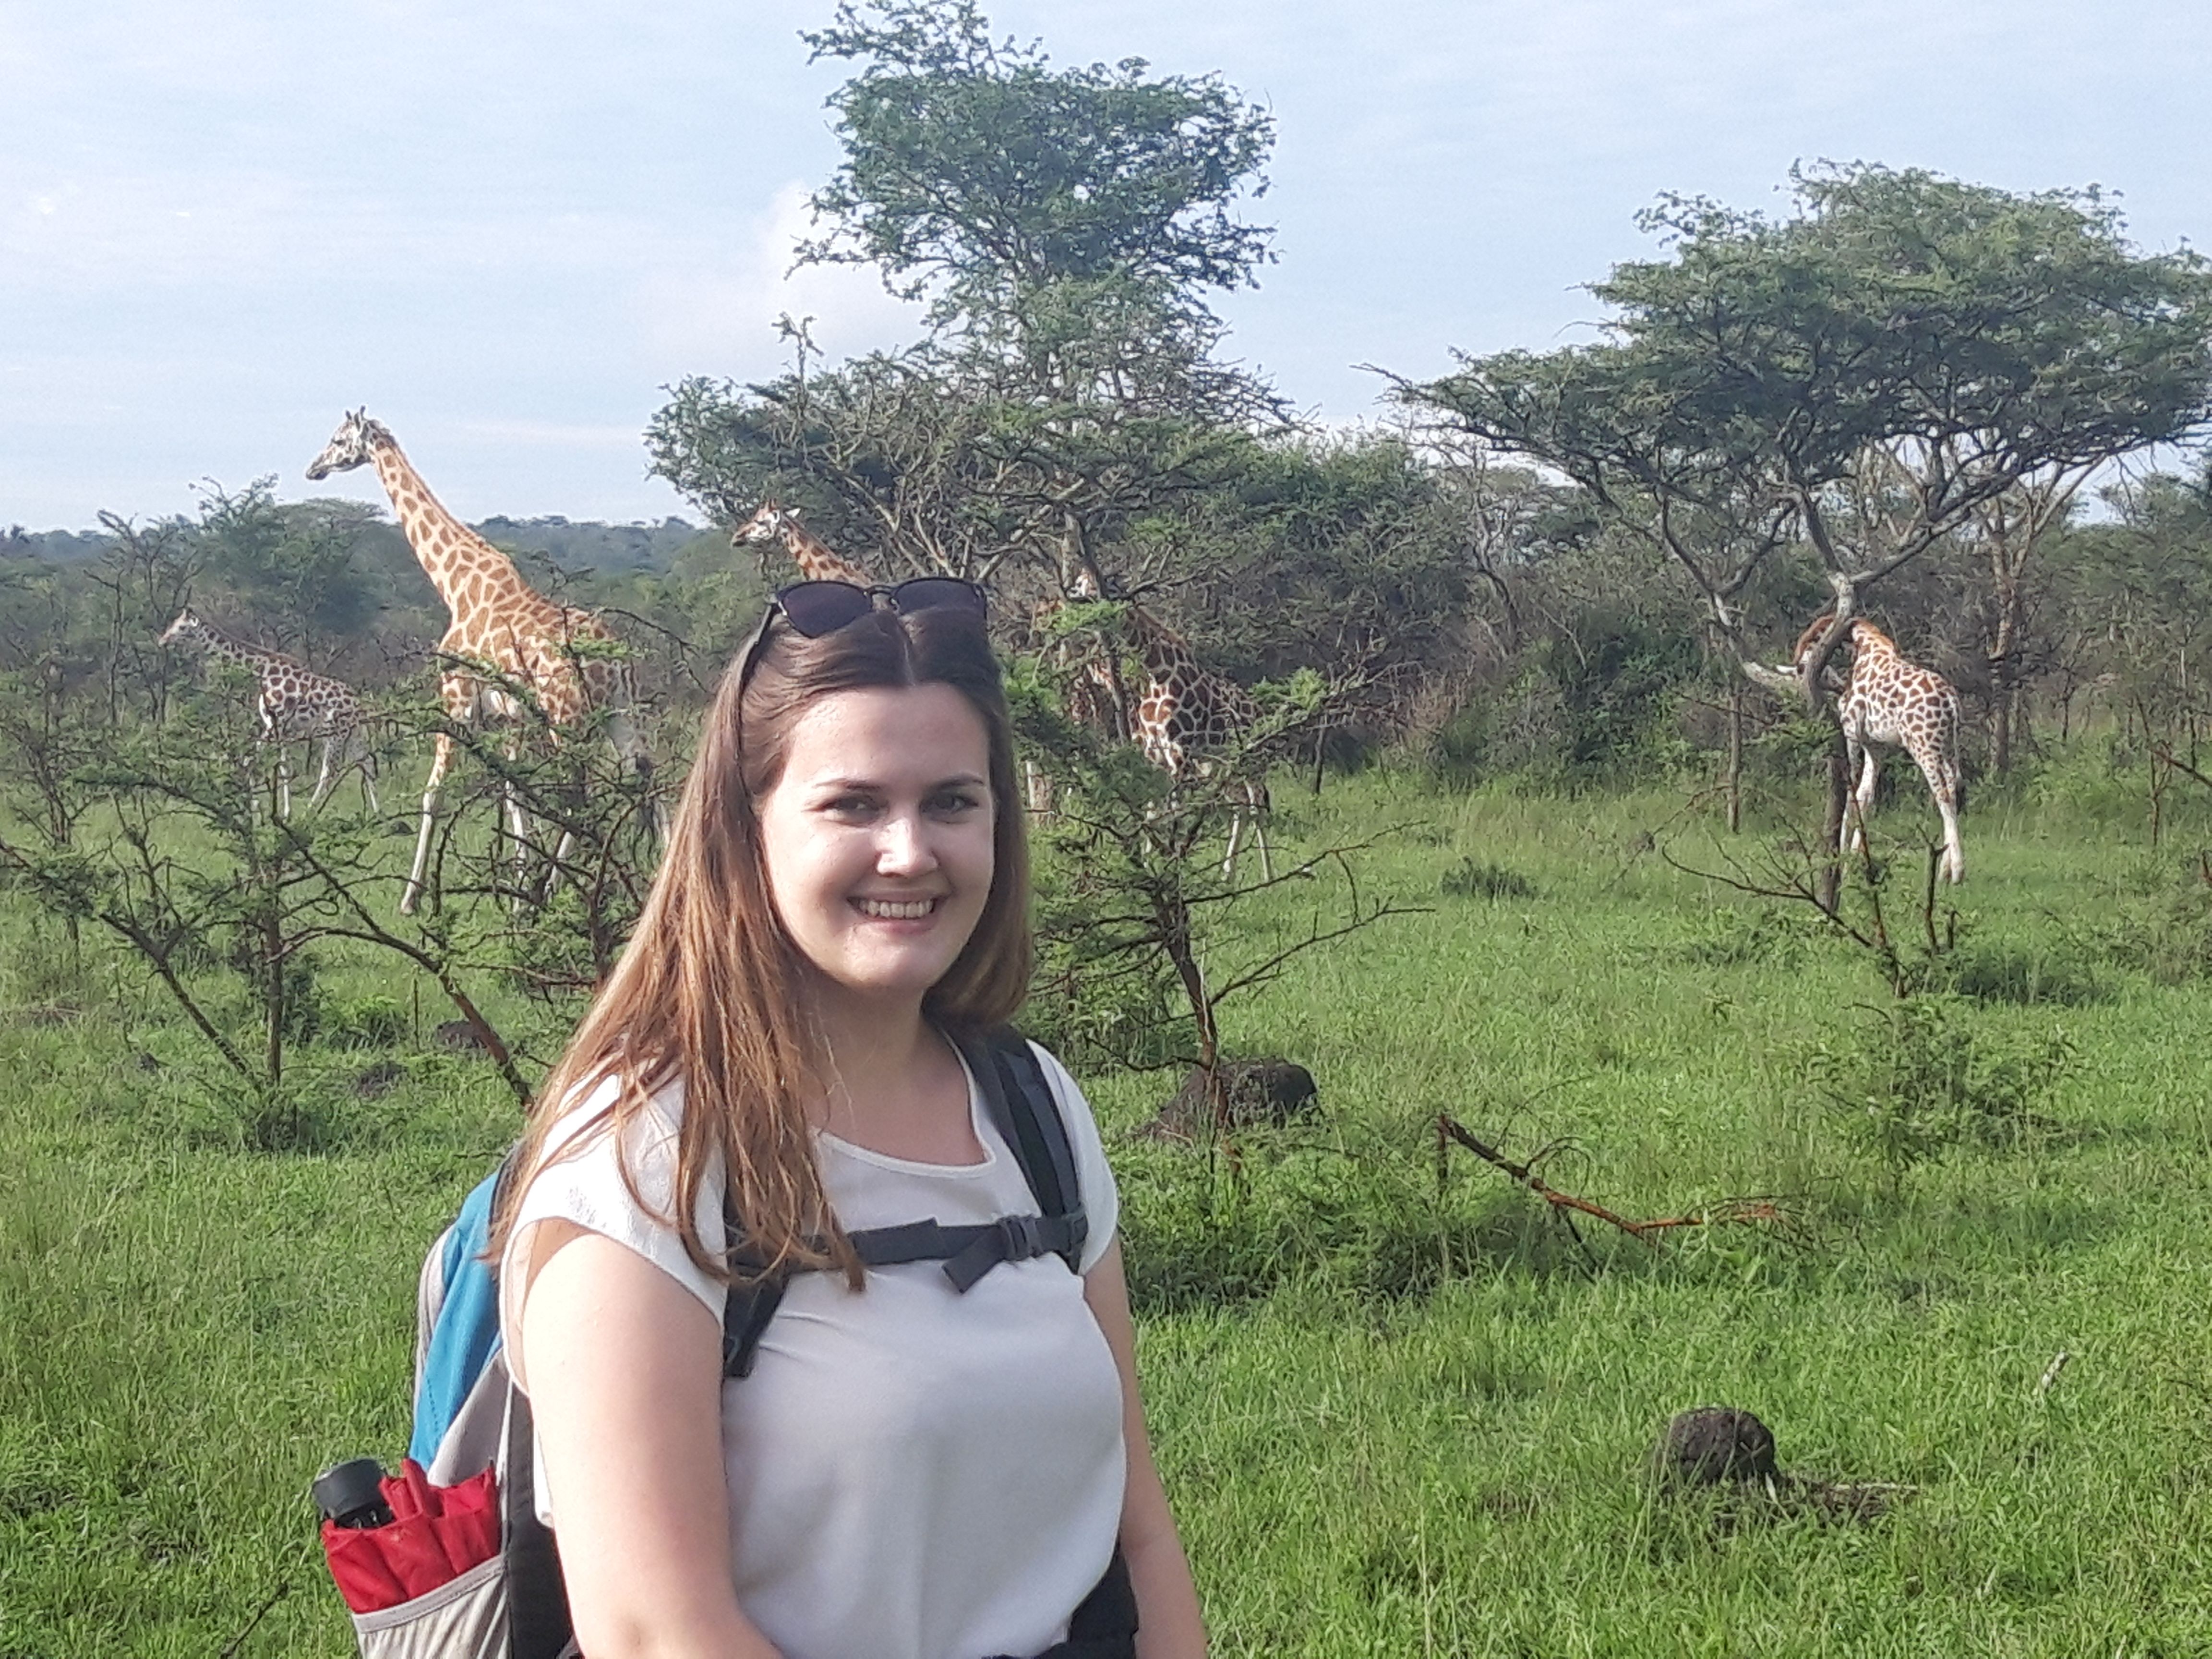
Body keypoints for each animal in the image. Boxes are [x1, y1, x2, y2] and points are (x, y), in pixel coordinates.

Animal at [160, 606, 378, 823]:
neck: (263, 672)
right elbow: (282, 766)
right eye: (173, 624)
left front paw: (263, 813)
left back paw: (308, 815)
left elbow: (253, 762)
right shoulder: (277, 726)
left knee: (329, 771)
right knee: (367, 763)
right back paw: (378, 815)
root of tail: (358, 702)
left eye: (181, 627)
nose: (162, 640)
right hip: (353, 733)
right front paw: (280, 812)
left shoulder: (275, 724)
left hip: (336, 733)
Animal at [310, 409, 654, 915]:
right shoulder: (511, 718)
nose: (313, 469)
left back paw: (555, 890)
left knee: (581, 795)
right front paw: (517, 889)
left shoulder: (457, 700)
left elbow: (435, 793)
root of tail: (616, 663)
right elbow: (515, 798)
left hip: (567, 717)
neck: (456, 585)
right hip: (619, 711)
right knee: (643, 774)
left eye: (337, 440)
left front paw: (411, 898)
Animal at [1796, 619, 1973, 889]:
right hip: (1949, 748)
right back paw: (1945, 870)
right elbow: (1866, 796)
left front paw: (1843, 859)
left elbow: (1851, 795)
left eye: (1814, 640)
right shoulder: (1875, 747)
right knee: (1953, 791)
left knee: (1943, 796)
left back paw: (1957, 872)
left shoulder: (1852, 732)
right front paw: (1856, 860)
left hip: (1925, 747)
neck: (1866, 649)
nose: (1800, 666)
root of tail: (1951, 701)